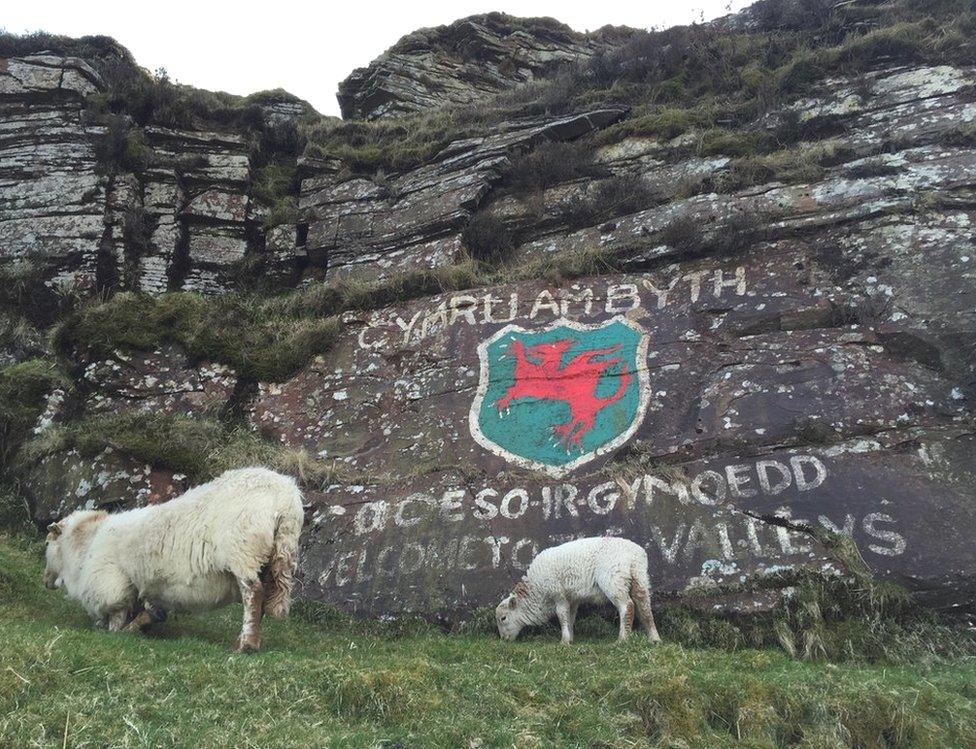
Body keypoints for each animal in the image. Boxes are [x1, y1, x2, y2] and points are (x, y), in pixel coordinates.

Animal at [43, 464, 302, 652]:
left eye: (48, 543)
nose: (45, 581)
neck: (85, 546)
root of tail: (287, 498)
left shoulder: (111, 582)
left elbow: (116, 613)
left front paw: (113, 632)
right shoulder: (143, 587)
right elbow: (150, 611)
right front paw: (136, 627)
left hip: (243, 552)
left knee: (253, 595)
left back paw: (246, 644)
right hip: (274, 558)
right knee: (263, 600)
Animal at [496, 536, 664, 644]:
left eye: (503, 618)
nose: (504, 640)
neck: (536, 591)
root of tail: (634, 555)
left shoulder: (558, 593)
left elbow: (561, 615)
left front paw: (564, 641)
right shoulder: (572, 598)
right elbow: (570, 616)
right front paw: (570, 638)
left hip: (614, 578)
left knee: (627, 606)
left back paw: (622, 639)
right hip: (640, 578)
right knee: (644, 606)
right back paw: (654, 638)